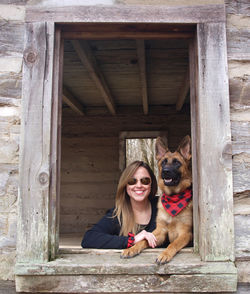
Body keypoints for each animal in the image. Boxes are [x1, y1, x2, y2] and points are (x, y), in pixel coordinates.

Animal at [120, 136, 192, 264]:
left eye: (177, 162)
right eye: (163, 162)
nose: (165, 171)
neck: (173, 197)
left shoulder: (185, 233)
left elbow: (173, 244)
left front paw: (165, 254)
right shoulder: (160, 231)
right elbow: (143, 240)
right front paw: (131, 249)